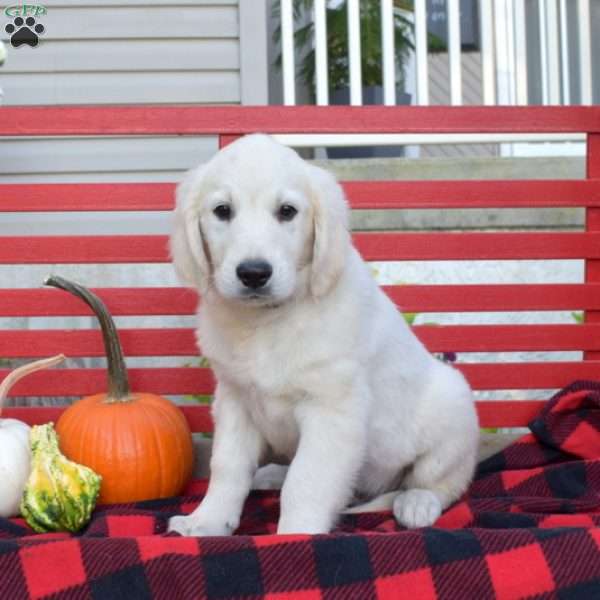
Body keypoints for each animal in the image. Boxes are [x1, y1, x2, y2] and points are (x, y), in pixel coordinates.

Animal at [166, 135, 480, 536]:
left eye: (287, 211)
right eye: (222, 210)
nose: (253, 273)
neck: (268, 321)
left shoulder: (332, 409)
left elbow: (306, 481)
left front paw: (296, 535)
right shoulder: (235, 399)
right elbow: (227, 467)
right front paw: (207, 521)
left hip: (452, 412)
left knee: (442, 483)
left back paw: (416, 503)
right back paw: (270, 475)